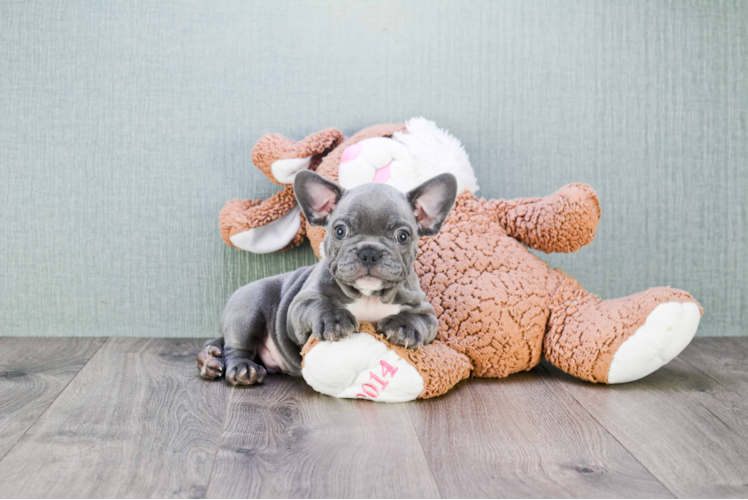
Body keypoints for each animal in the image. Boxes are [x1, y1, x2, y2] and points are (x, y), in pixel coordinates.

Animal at [197, 170, 456, 384]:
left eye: (403, 236)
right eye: (340, 231)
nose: (369, 252)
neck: (368, 295)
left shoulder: (426, 312)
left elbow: (419, 319)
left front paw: (403, 327)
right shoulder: (299, 305)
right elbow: (320, 305)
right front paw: (335, 320)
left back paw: (209, 359)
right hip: (249, 308)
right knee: (236, 347)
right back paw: (240, 368)